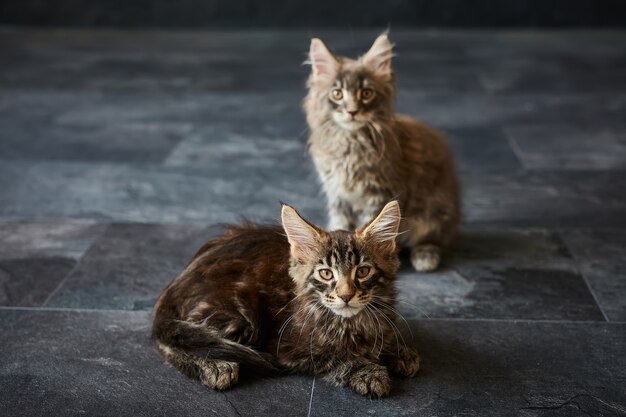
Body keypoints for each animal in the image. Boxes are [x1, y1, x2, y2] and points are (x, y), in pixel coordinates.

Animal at [151, 201, 416, 396]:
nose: (346, 296)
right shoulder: (290, 348)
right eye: (326, 273)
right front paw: (369, 372)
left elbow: (383, 340)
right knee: (172, 342)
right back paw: (215, 365)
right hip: (241, 312)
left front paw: (398, 352)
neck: (351, 321)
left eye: (362, 272)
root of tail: (173, 285)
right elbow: (337, 357)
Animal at [302, 34, 458, 272]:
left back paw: (425, 256)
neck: (351, 142)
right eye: (337, 94)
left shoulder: (380, 191)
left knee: (434, 238)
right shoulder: (337, 192)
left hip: (435, 209)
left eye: (366, 93)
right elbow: (340, 222)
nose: (352, 111)